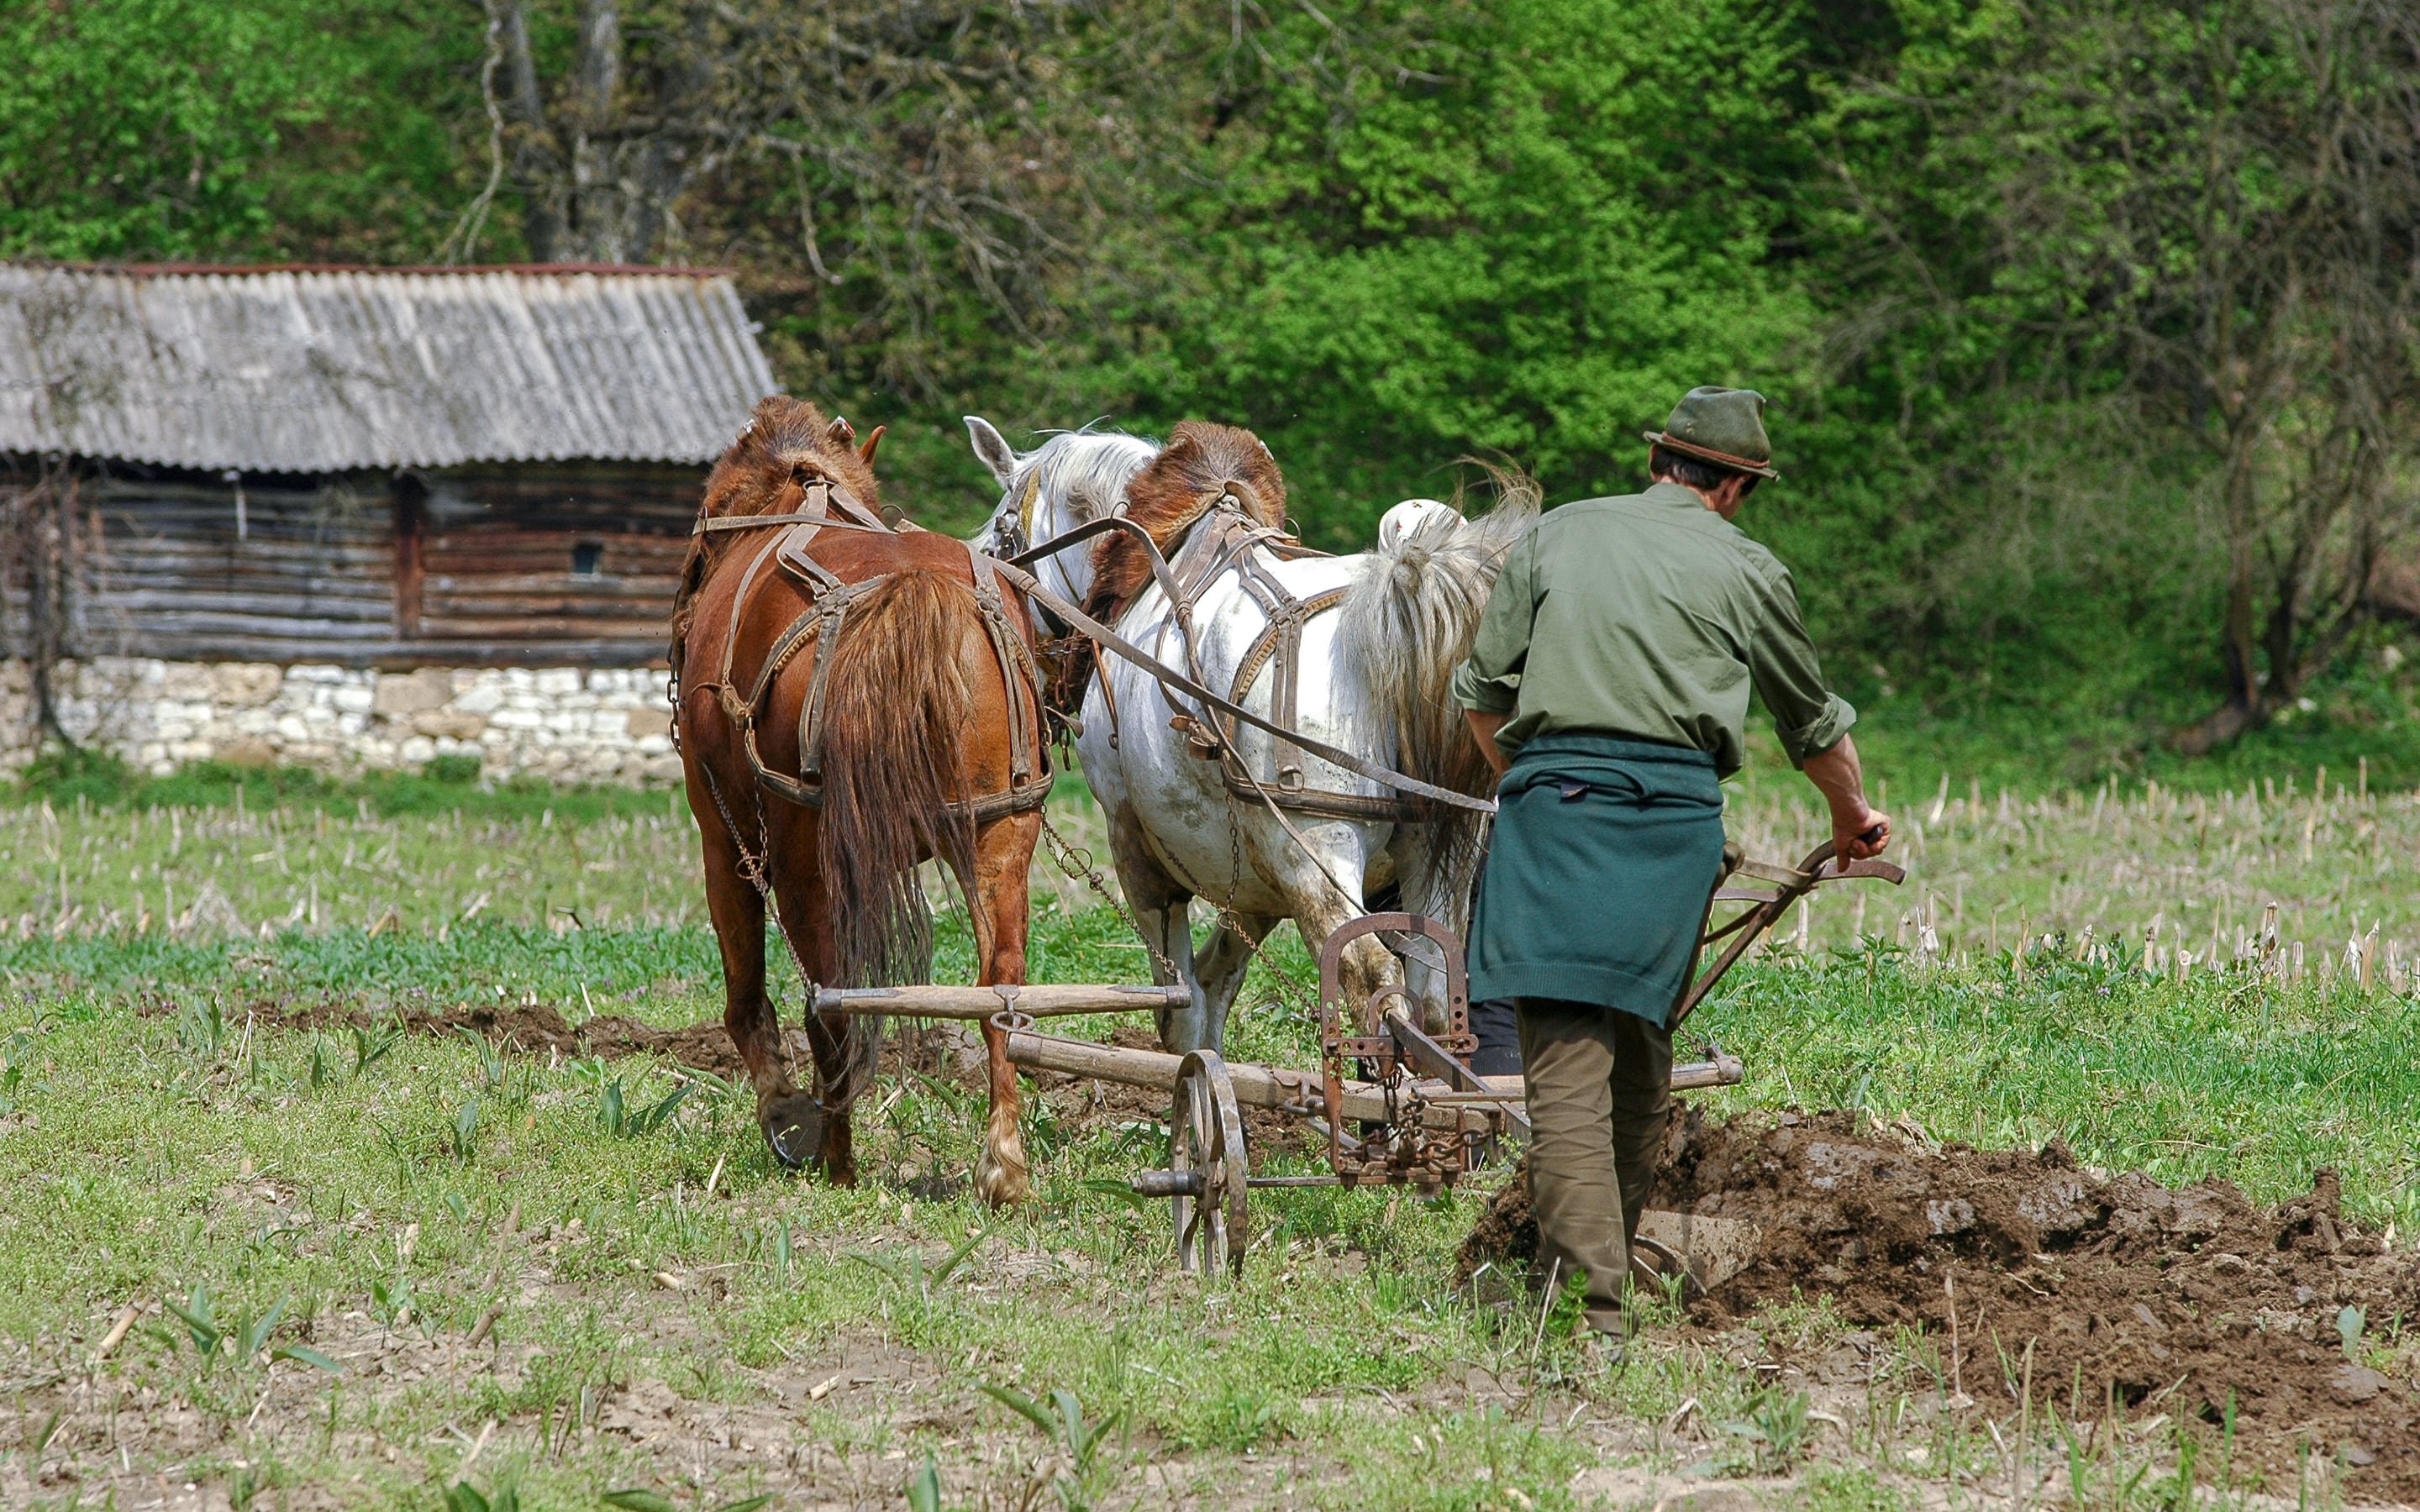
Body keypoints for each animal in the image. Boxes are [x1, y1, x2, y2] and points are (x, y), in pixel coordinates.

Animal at [672, 394, 1050, 1194]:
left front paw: (783, 1111)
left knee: (833, 1000)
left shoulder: (724, 840)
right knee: (1000, 990)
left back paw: (835, 1156)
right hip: (1000, 836)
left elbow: (747, 994)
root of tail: (914, 590)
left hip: (805, 856)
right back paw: (1004, 1166)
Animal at [963, 413, 1529, 1049]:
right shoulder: (1255, 867)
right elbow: (1218, 978)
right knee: (1434, 999)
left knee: (1372, 984)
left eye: (999, 542)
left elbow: (1181, 1001)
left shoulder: (1134, 842)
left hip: (1318, 854)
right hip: (1442, 856)